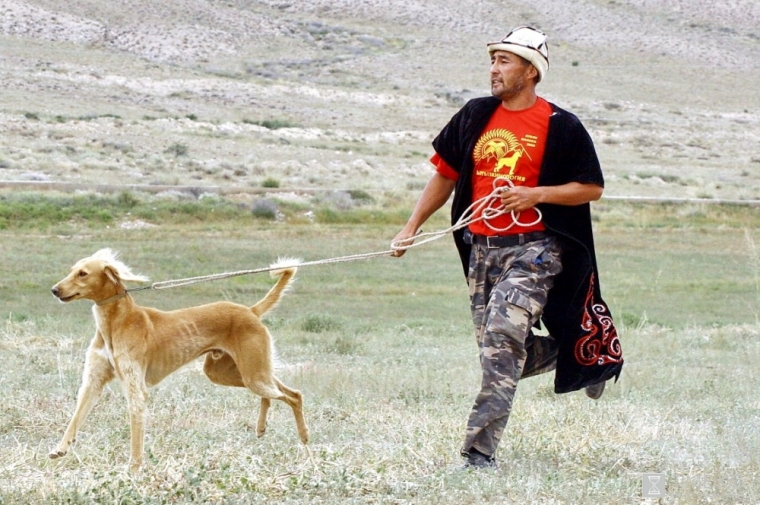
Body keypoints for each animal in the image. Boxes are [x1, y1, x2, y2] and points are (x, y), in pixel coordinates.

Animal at [50, 248, 308, 471]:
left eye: (83, 273)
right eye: (72, 270)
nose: (54, 290)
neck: (117, 322)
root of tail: (250, 311)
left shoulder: (136, 388)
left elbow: (136, 436)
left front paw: (133, 470)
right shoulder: (93, 383)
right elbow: (75, 418)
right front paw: (60, 449)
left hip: (252, 373)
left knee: (294, 395)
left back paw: (304, 438)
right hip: (233, 372)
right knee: (275, 392)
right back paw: (262, 427)